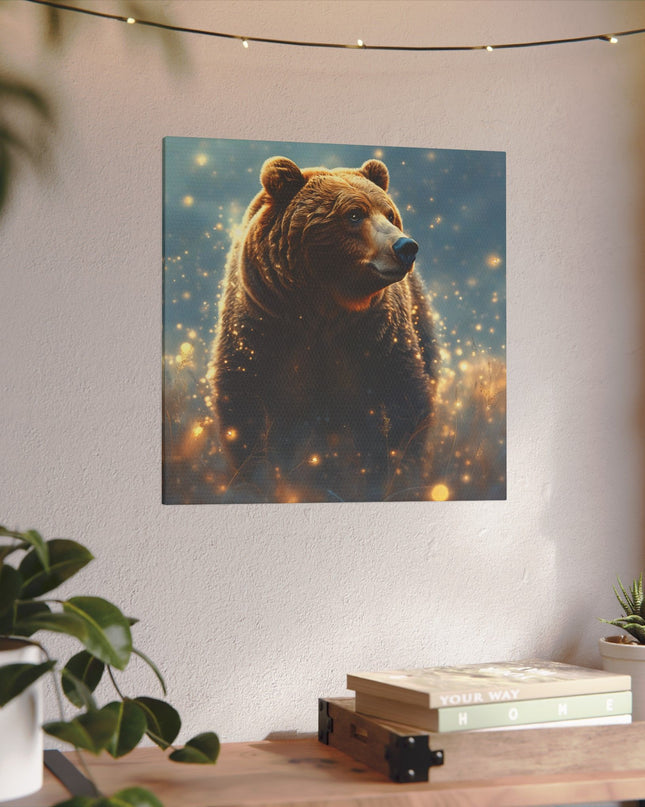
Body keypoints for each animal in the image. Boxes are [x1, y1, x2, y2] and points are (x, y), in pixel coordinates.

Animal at [208, 156, 438, 502]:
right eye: (354, 213)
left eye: (389, 213)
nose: (405, 246)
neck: (323, 305)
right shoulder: (260, 323)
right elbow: (243, 399)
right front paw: (257, 482)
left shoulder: (377, 332)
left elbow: (404, 395)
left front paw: (387, 477)